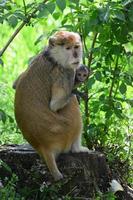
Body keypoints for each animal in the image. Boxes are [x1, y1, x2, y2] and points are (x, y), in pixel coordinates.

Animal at [14, 30, 88, 180]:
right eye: (68, 48)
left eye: (76, 47)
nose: (76, 56)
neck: (52, 57)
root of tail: (43, 147)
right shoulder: (65, 72)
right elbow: (55, 105)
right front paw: (77, 90)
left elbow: (15, 83)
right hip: (65, 131)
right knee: (72, 103)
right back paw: (77, 149)